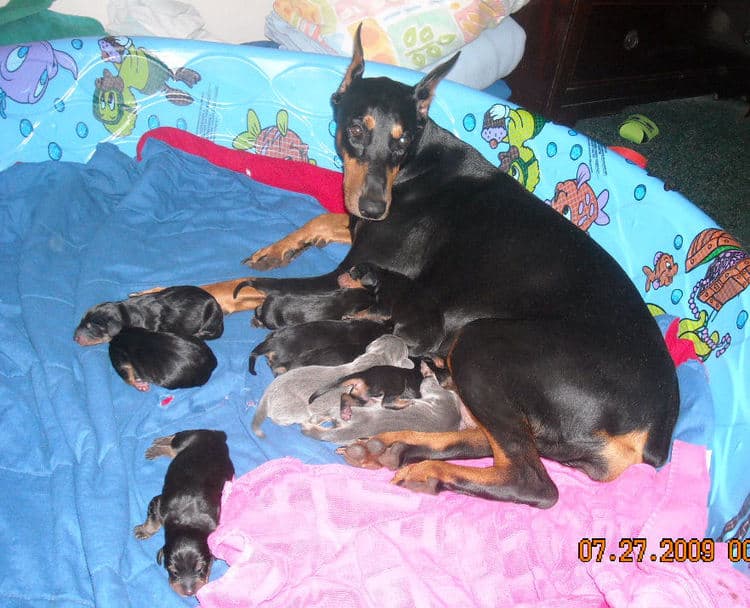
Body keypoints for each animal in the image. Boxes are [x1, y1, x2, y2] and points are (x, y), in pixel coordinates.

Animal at [134, 430, 235, 596]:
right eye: (174, 571)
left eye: (200, 569)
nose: (188, 592)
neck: (186, 523)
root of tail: (216, 435)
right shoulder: (159, 503)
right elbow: (153, 519)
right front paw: (144, 531)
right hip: (187, 438)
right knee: (173, 441)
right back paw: (157, 445)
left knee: (173, 447)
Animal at [302, 358, 464, 444]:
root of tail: (364, 375)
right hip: (394, 385)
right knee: (385, 402)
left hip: (361, 397)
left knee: (345, 397)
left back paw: (344, 411)